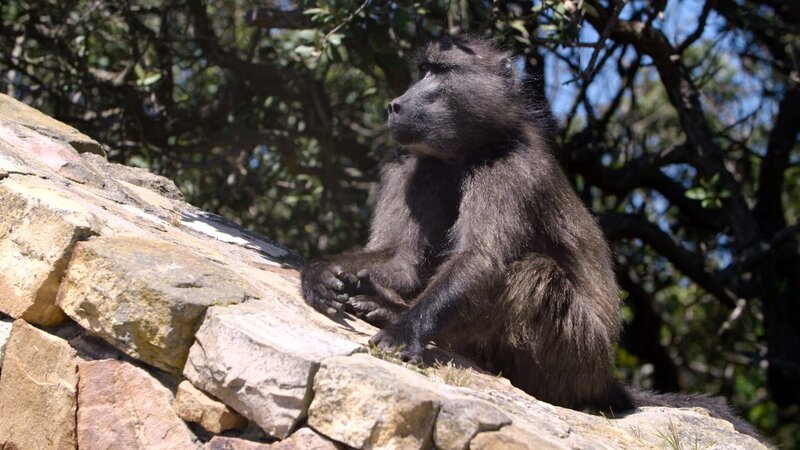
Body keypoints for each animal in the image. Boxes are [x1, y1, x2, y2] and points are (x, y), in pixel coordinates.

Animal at [301, 35, 762, 439]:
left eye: (440, 71)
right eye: (422, 70)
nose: (396, 105)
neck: (465, 152)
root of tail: (605, 380)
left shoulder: (510, 170)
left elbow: (481, 259)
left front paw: (403, 328)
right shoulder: (411, 162)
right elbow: (401, 259)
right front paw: (320, 273)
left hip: (579, 359)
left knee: (534, 273)